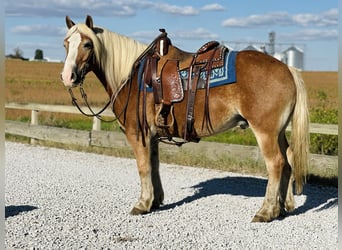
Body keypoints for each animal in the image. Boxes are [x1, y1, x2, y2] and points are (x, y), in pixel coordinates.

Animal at [60, 15, 310, 223]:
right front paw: (156, 200)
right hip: (278, 132)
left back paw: (266, 211)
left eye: (87, 44)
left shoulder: (137, 134)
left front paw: (142, 204)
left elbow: (143, 167)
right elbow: (154, 166)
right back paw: (282, 206)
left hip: (265, 132)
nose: (67, 77)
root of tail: (288, 69)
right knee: (288, 159)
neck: (132, 76)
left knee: (276, 163)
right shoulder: (152, 136)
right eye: (65, 44)